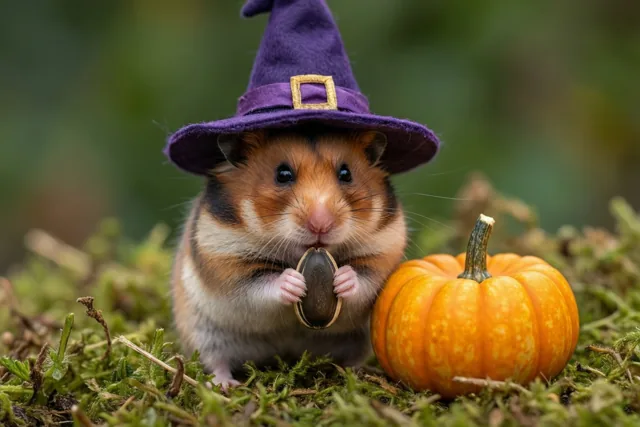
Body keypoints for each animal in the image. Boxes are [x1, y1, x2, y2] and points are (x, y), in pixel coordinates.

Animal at [170, 125, 407, 389]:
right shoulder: (225, 258)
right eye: (282, 174)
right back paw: (225, 385)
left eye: (346, 173)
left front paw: (343, 279)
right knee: (216, 361)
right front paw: (293, 282)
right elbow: (260, 284)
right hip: (204, 332)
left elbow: (366, 278)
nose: (321, 224)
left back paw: (355, 374)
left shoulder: (384, 249)